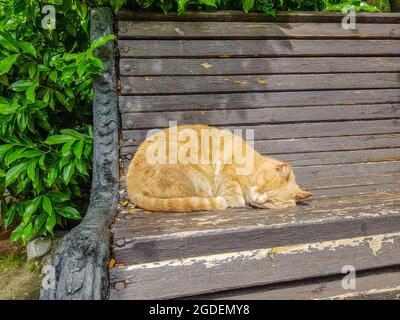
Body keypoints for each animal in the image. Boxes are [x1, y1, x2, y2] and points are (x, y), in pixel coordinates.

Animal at [127, 125, 312, 212]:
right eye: (265, 189)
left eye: (272, 203)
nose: (260, 201)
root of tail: (131, 188)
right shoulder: (227, 169)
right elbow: (232, 189)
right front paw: (236, 200)